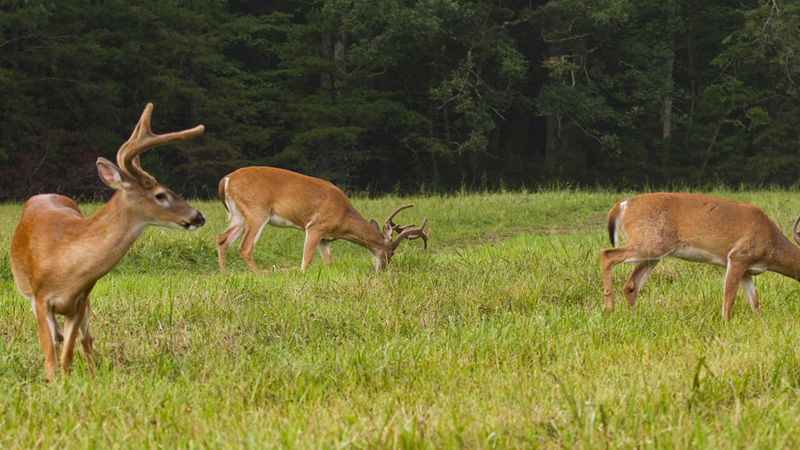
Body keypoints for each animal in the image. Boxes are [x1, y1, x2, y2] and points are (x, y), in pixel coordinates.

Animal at [9, 103, 206, 381]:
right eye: (160, 194)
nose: (199, 216)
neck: (65, 262)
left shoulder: (81, 299)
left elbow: (68, 355)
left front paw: (72, 383)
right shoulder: (40, 299)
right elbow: (51, 358)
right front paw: (53, 383)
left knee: (86, 340)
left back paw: (92, 377)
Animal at [216, 166, 430, 274]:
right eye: (392, 253)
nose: (383, 271)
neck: (343, 217)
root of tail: (224, 181)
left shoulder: (324, 237)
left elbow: (328, 259)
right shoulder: (315, 227)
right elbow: (307, 259)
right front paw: (302, 276)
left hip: (238, 217)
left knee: (222, 239)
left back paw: (224, 275)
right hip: (257, 211)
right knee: (245, 246)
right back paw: (258, 275)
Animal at [600, 192, 800, 320]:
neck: (771, 242)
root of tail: (621, 205)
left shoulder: (746, 269)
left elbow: (755, 300)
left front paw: (759, 323)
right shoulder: (738, 256)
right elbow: (729, 297)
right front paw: (726, 324)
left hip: (652, 252)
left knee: (630, 285)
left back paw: (633, 317)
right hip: (651, 243)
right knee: (607, 254)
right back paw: (609, 309)